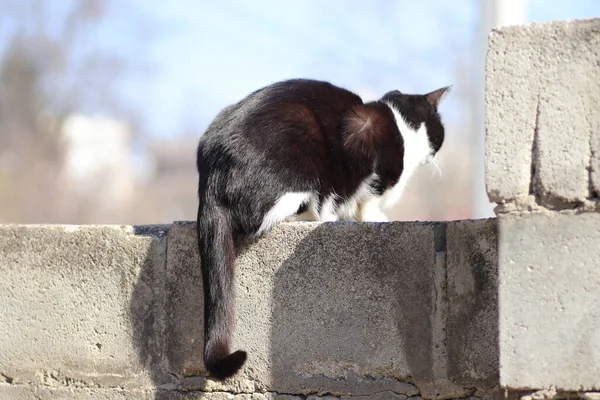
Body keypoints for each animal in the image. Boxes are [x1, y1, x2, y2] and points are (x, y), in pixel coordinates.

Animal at [197, 77, 450, 378]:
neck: (398, 123)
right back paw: (316, 215)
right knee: (263, 216)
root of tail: (211, 176)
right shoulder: (366, 142)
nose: (437, 152)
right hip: (300, 156)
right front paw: (374, 216)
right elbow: (367, 197)